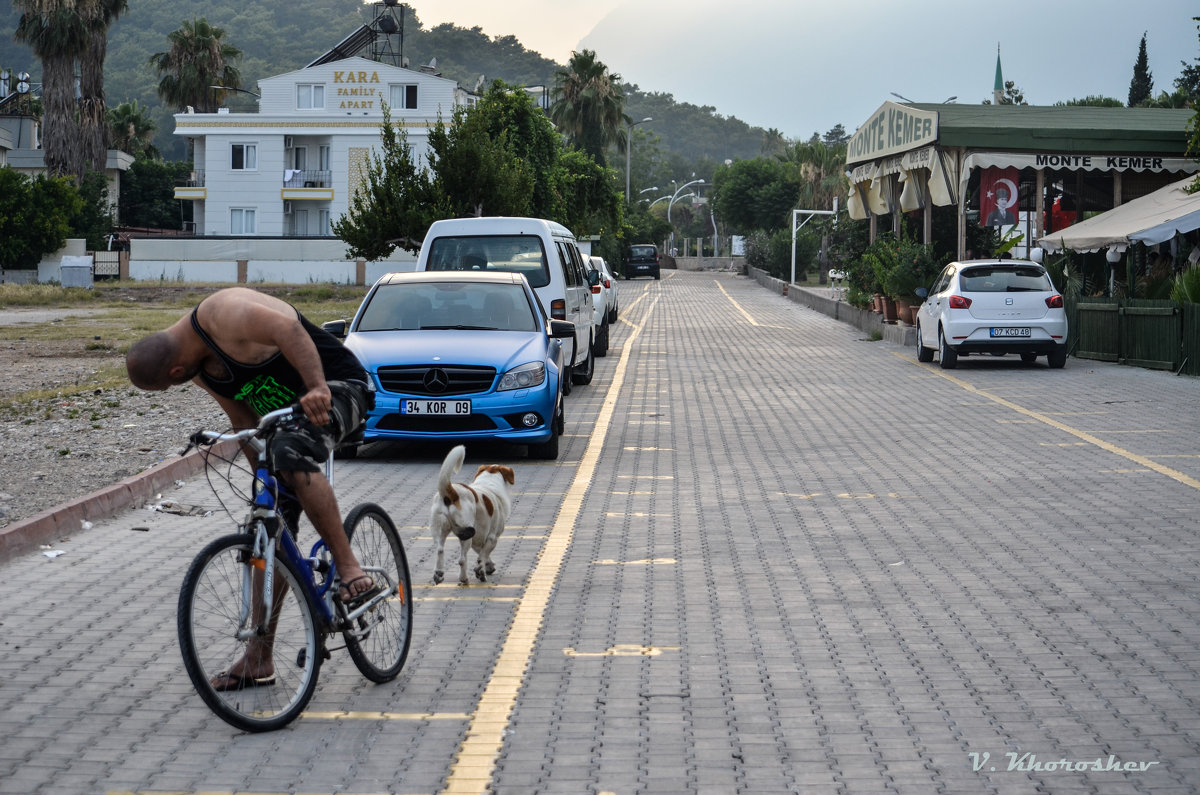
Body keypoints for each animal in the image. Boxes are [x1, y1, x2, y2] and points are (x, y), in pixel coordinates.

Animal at [429, 444, 513, 588]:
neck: (489, 483)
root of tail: (451, 492)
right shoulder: (492, 538)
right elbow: (483, 554)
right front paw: (481, 571)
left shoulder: (478, 540)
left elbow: (482, 553)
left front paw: (488, 566)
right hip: (466, 533)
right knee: (462, 559)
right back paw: (464, 578)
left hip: (440, 529)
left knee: (440, 550)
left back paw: (438, 573)